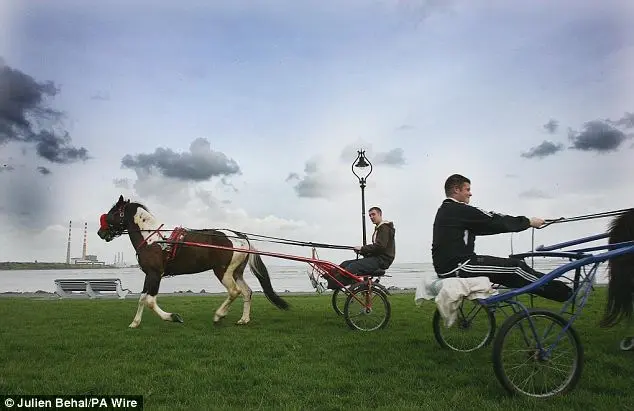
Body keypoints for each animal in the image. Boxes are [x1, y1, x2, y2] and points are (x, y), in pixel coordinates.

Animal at [95, 196, 288, 328]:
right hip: (236, 272)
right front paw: (135, 322)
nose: (100, 233)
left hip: (223, 271)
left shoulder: (154, 274)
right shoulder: (149, 275)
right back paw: (244, 319)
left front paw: (172, 317)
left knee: (234, 291)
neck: (154, 240)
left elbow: (149, 301)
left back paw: (219, 315)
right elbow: (142, 298)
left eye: (112, 213)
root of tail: (240, 237)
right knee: (247, 292)